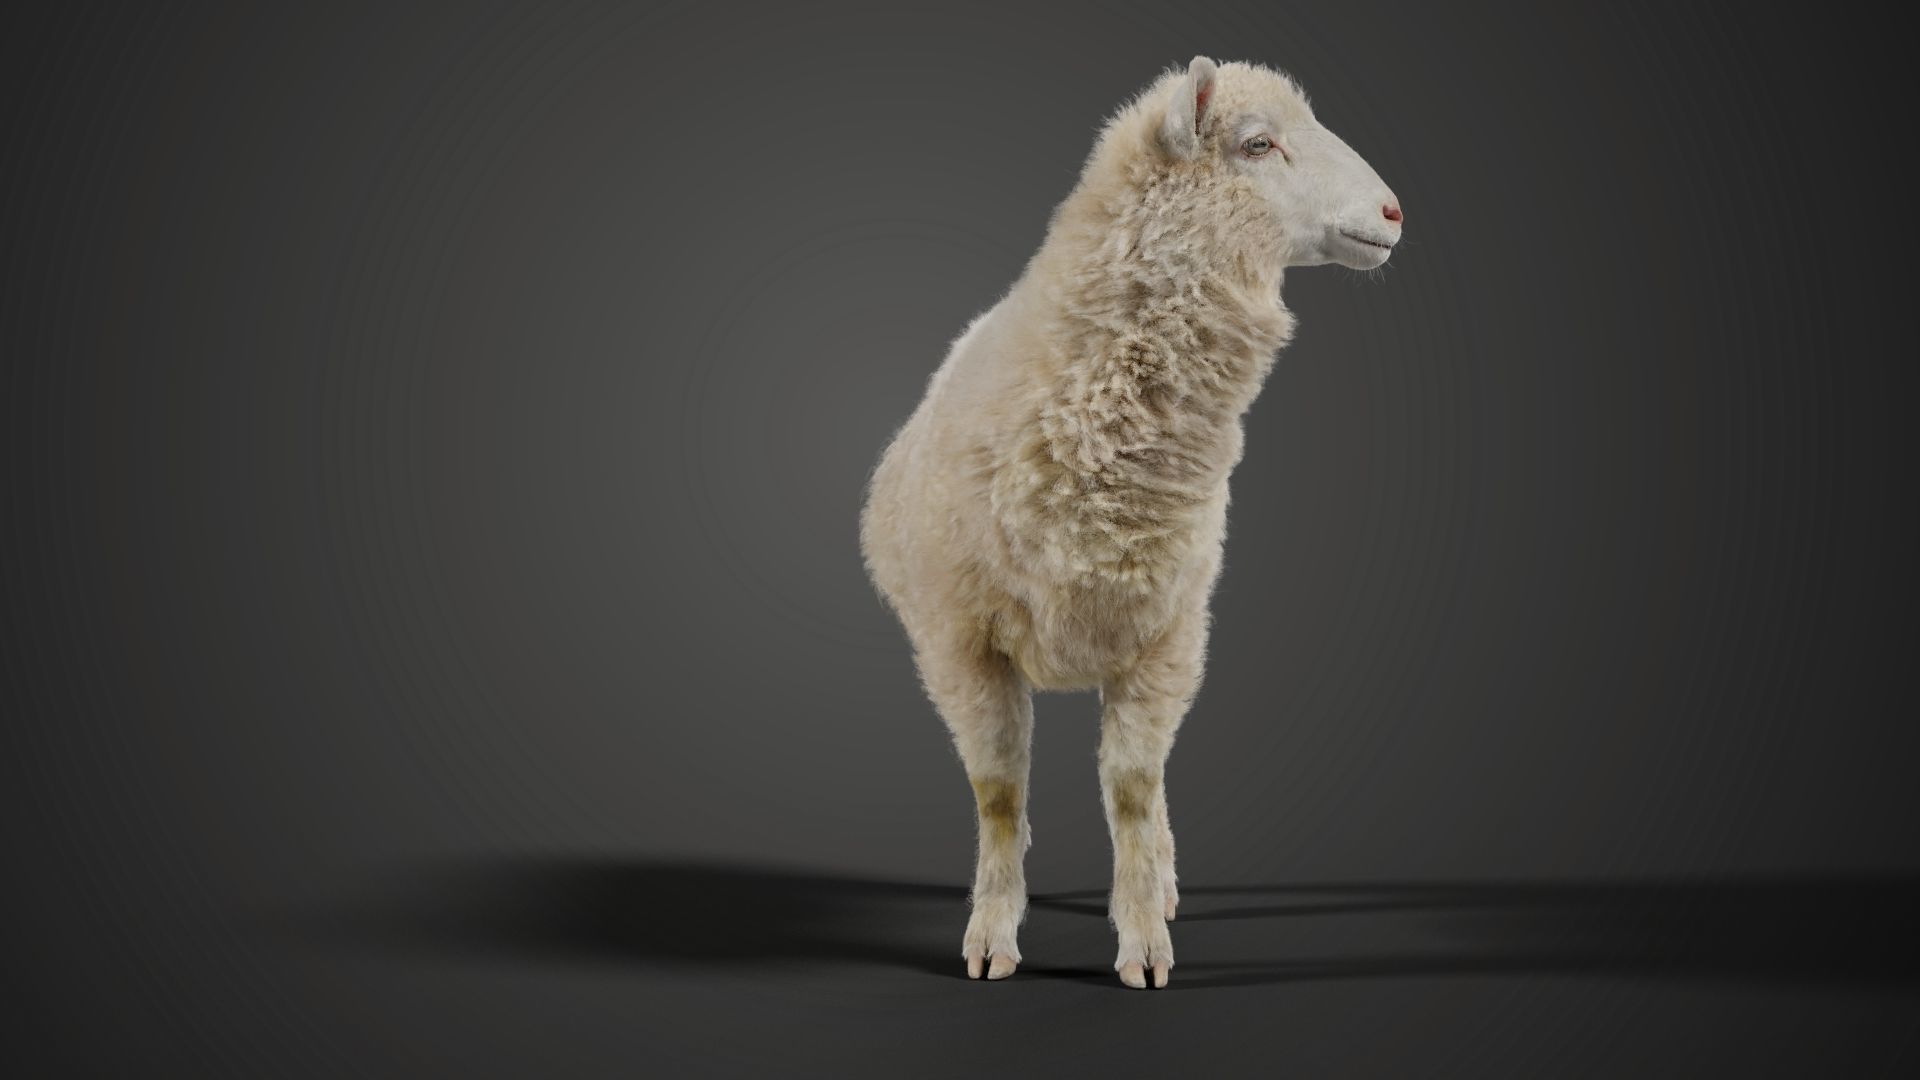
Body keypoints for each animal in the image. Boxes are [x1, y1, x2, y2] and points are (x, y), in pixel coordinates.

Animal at [858, 56, 1403, 990]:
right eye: (1257, 145)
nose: (1396, 212)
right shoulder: (962, 644)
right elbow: (999, 794)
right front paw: (992, 932)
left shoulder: (1164, 640)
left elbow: (1135, 791)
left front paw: (1144, 937)